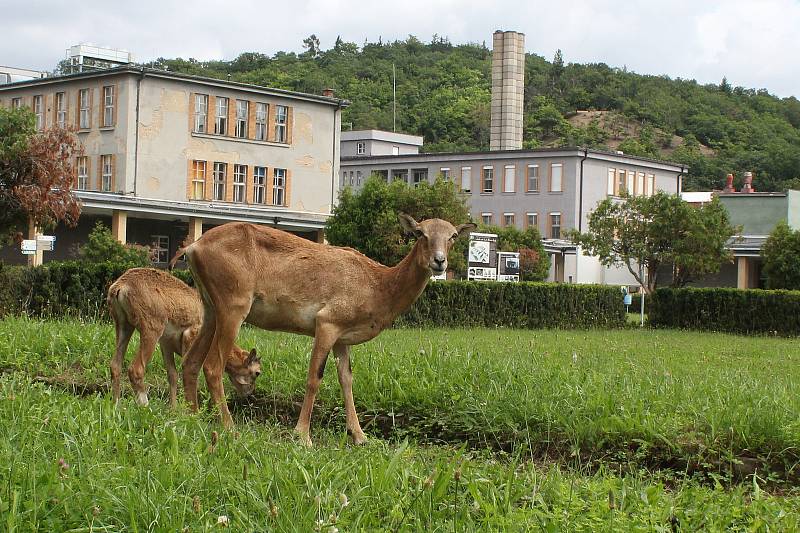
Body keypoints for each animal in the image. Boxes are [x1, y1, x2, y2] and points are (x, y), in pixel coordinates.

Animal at [106, 268, 260, 406]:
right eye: (257, 372)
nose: (250, 394)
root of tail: (120, 286)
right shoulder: (189, 336)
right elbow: (188, 370)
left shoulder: (165, 344)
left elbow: (172, 375)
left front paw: (173, 408)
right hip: (151, 330)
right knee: (135, 369)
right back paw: (145, 406)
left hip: (123, 325)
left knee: (115, 365)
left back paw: (115, 405)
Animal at [178, 214, 472, 442]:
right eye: (420, 232)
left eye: (453, 235)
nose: (439, 261)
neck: (377, 284)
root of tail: (194, 248)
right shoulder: (326, 324)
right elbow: (314, 377)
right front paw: (302, 435)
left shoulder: (343, 338)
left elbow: (346, 379)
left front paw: (360, 436)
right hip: (233, 309)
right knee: (212, 366)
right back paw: (229, 427)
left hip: (211, 310)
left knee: (191, 362)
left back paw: (193, 416)